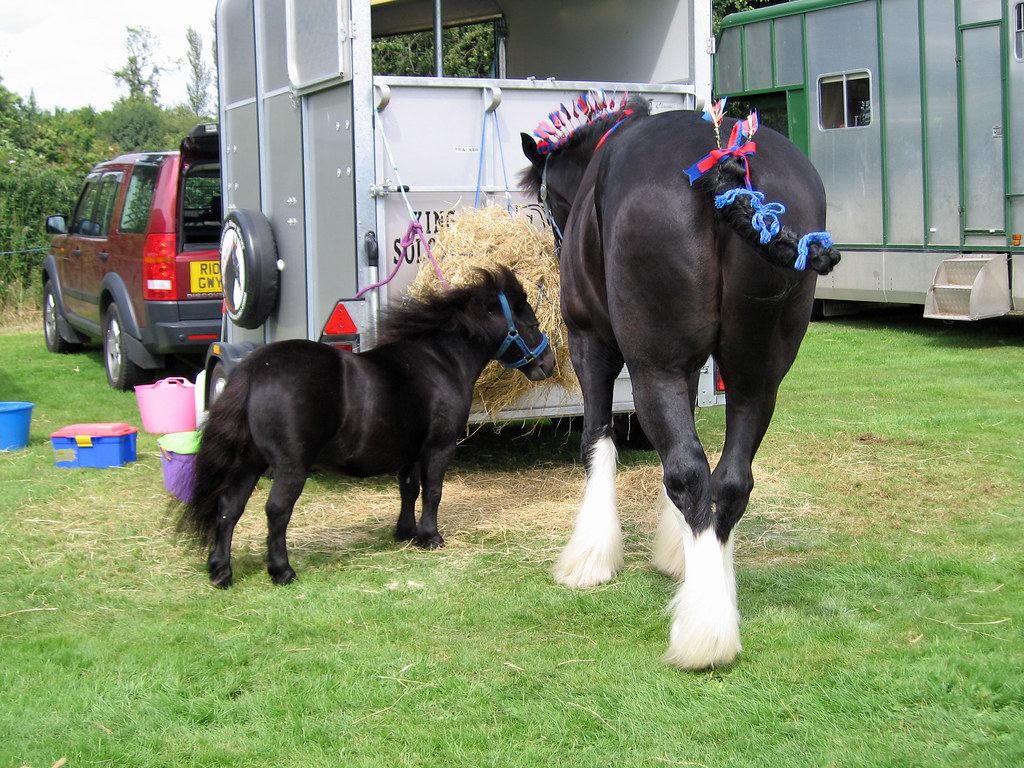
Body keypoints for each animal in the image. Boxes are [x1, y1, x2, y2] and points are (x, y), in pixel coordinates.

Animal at [180, 268, 557, 593]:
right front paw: (431, 537)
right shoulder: (439, 448)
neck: (440, 361)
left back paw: (221, 572)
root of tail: (256, 368)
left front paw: (406, 533)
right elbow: (433, 492)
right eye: (532, 323)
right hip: (289, 466)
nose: (548, 363)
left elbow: (409, 490)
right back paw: (282, 571)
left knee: (229, 507)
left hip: (250, 461)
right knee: (276, 511)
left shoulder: (409, 452)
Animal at [524, 93, 843, 671]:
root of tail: (726, 167)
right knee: (731, 480)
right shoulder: (695, 367)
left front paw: (590, 558)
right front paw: (679, 552)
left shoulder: (592, 343)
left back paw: (703, 633)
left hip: (653, 365)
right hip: (756, 376)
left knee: (690, 472)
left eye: (547, 200)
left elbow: (597, 439)